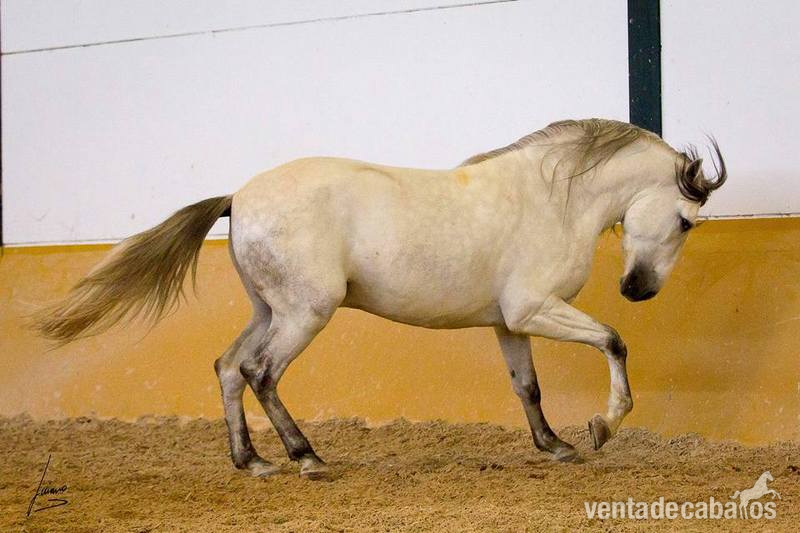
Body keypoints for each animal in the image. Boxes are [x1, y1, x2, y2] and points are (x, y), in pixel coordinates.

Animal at [33, 118, 726, 479]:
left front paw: (555, 445)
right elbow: (612, 340)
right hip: (305, 314)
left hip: (271, 311)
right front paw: (602, 426)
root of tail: (239, 195)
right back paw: (307, 457)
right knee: (260, 372)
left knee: (229, 367)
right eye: (687, 223)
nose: (638, 290)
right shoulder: (534, 309)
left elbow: (526, 387)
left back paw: (252, 462)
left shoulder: (510, 322)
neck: (554, 199)